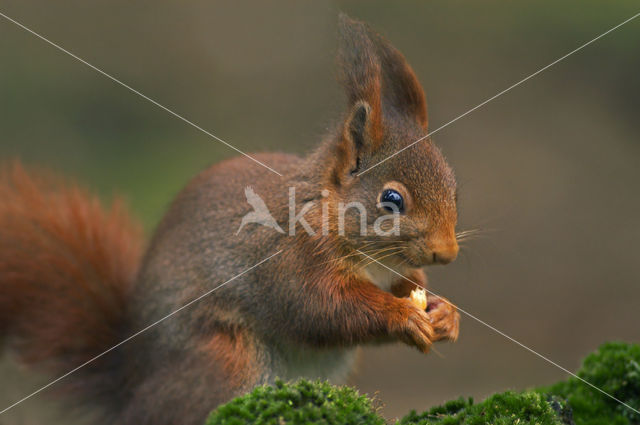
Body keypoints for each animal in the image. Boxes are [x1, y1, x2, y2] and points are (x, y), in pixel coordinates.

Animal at [0, 13, 460, 424]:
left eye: (454, 187)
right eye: (391, 199)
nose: (447, 253)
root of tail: (132, 388)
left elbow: (408, 286)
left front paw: (444, 313)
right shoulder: (291, 259)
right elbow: (321, 308)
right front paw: (403, 316)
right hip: (226, 359)